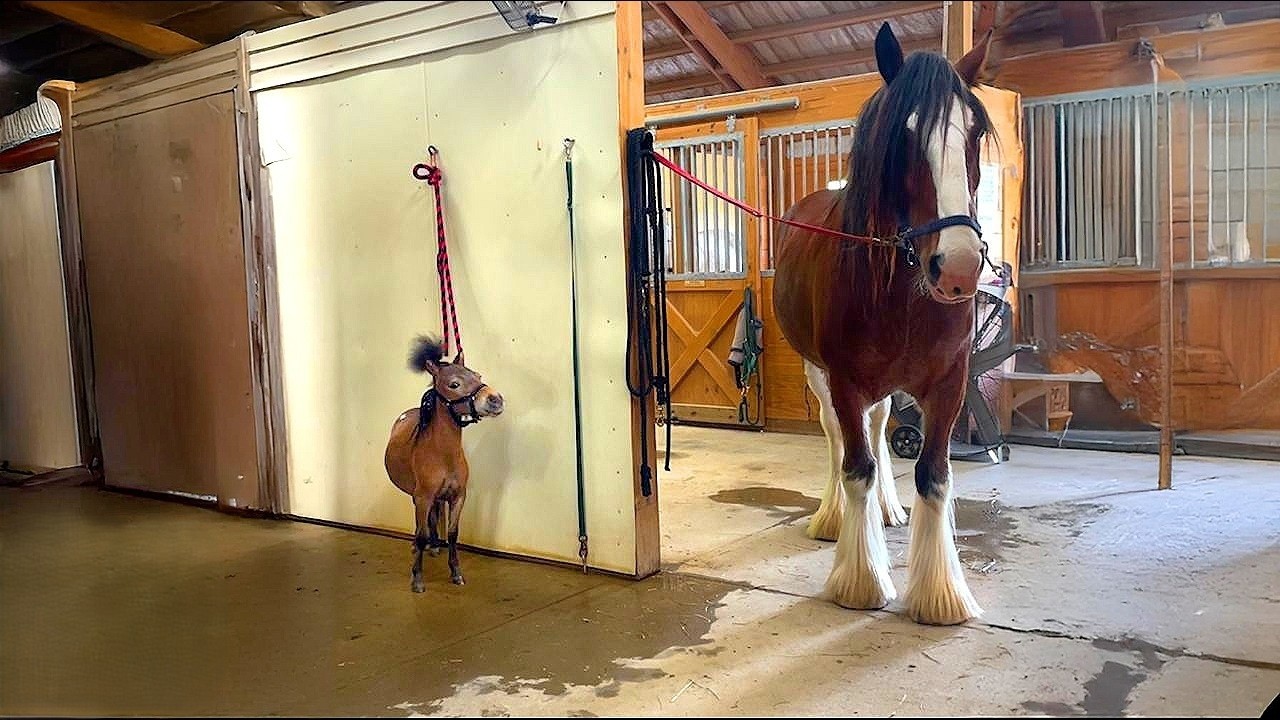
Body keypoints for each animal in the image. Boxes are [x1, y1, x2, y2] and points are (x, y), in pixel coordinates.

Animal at [384, 335, 504, 593]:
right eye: (454, 384)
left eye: (477, 375)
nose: (495, 400)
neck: (443, 455)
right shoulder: (423, 497)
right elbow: (421, 534)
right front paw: (417, 579)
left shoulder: (458, 496)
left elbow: (452, 533)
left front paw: (456, 573)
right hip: (417, 496)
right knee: (421, 525)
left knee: (434, 517)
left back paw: (434, 546)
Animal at [772, 23, 995, 626]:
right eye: (905, 135)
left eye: (974, 132)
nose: (958, 267)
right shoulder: (844, 380)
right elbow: (856, 467)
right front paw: (861, 579)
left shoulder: (949, 384)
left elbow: (933, 474)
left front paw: (940, 594)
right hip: (818, 374)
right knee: (838, 441)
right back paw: (833, 519)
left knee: (877, 429)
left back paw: (887, 511)